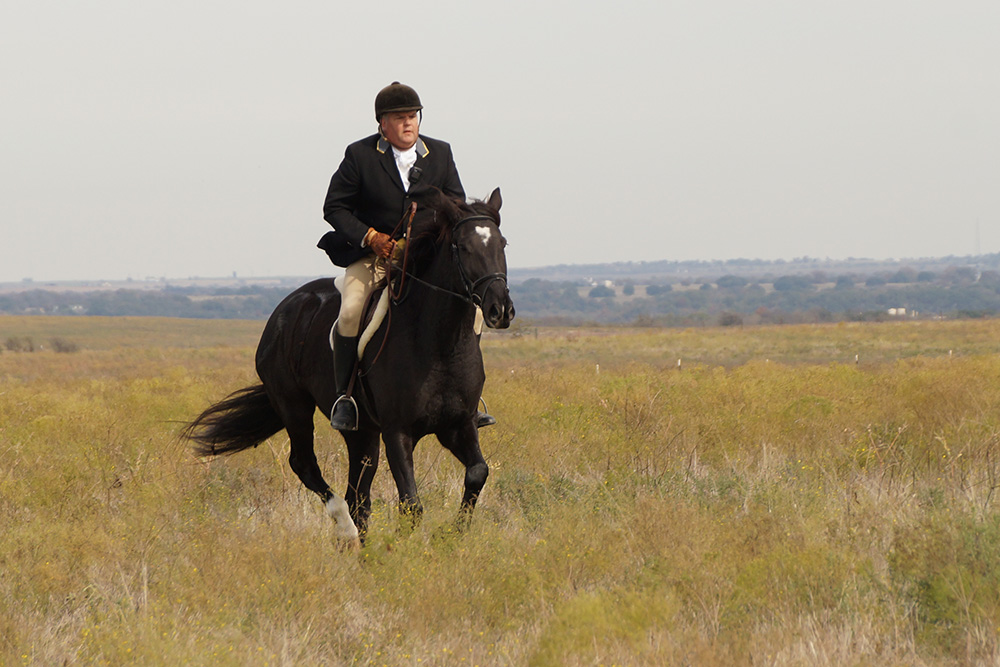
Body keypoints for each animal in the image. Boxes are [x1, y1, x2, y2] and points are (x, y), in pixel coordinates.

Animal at [183, 188, 514, 545]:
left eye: (502, 244)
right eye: (463, 247)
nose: (501, 310)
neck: (440, 345)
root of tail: (286, 308)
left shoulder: (458, 424)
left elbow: (477, 472)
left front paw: (451, 535)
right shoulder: (397, 431)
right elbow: (411, 502)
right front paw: (405, 547)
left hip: (361, 431)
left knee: (359, 494)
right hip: (294, 405)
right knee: (306, 466)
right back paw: (345, 528)